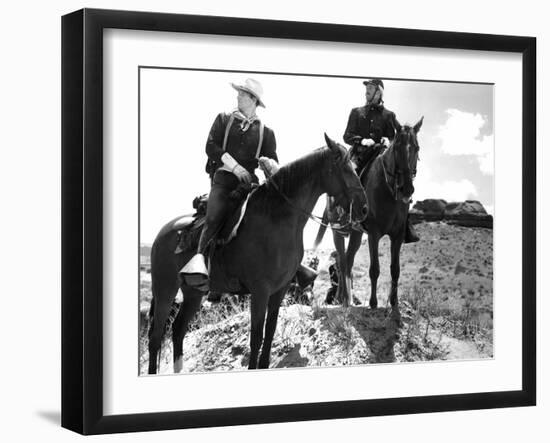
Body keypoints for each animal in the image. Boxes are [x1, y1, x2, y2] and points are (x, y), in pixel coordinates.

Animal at [149, 135, 368, 374]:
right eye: (345, 168)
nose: (364, 209)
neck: (278, 220)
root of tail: (163, 232)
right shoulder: (260, 291)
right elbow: (256, 337)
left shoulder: (279, 290)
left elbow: (270, 333)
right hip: (165, 289)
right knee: (156, 336)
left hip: (193, 292)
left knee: (178, 329)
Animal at [314, 119, 426, 310]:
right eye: (397, 147)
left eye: (417, 148)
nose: (406, 189)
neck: (388, 190)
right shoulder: (374, 234)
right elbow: (374, 269)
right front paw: (373, 303)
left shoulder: (397, 236)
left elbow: (395, 270)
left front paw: (394, 303)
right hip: (338, 232)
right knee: (341, 262)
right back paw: (340, 299)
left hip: (356, 235)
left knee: (348, 261)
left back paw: (346, 298)